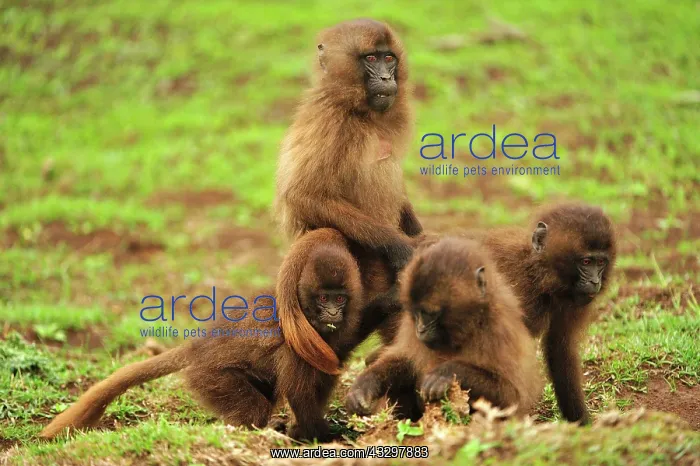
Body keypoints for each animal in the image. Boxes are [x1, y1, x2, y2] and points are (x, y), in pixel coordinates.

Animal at [40, 229, 398, 442]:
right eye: (324, 298)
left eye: (340, 299)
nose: (333, 313)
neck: (307, 315)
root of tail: (198, 347)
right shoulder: (295, 344)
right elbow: (301, 394)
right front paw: (324, 435)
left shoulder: (334, 332)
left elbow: (341, 347)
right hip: (210, 377)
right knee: (252, 408)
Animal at [275, 19, 422, 279]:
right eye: (371, 58)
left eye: (389, 58)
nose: (386, 78)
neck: (357, 110)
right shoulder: (332, 121)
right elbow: (304, 195)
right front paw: (398, 246)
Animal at [345, 237, 543, 421]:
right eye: (415, 313)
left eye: (429, 314)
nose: (420, 329)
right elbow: (406, 361)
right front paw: (365, 385)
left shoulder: (500, 330)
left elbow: (511, 397)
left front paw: (447, 372)